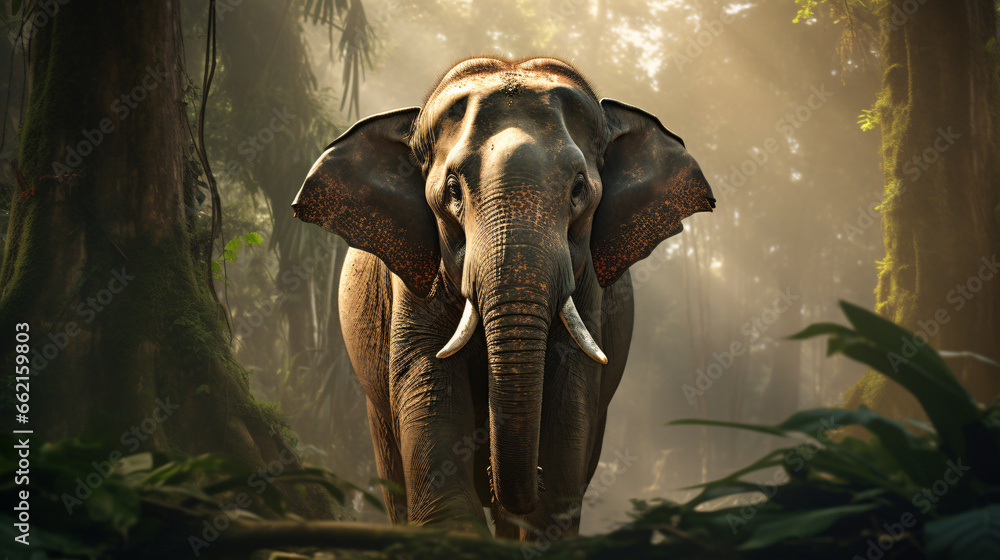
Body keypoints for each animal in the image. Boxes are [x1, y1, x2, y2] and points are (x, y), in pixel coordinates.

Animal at [292, 56, 714, 540]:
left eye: (579, 189)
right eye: (451, 190)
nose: (501, 473)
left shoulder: (587, 284)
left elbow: (572, 387)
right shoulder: (413, 277)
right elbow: (425, 371)